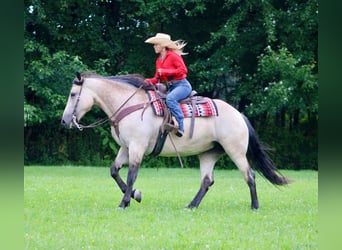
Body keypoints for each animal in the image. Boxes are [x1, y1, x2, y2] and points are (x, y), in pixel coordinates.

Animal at [60, 72, 288, 209]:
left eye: (72, 94)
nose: (64, 121)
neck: (130, 105)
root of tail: (239, 114)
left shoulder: (137, 147)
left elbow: (132, 174)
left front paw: (124, 202)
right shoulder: (125, 148)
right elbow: (114, 171)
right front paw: (135, 195)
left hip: (236, 151)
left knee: (249, 175)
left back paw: (254, 206)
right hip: (209, 153)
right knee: (207, 181)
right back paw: (191, 205)